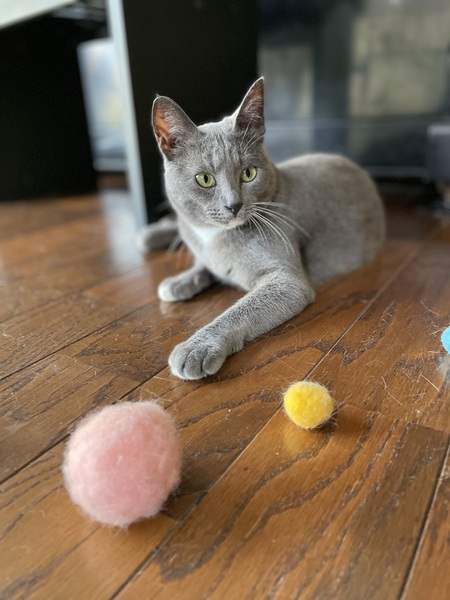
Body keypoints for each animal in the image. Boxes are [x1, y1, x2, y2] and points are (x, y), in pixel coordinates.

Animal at [138, 78, 385, 380]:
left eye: (249, 173)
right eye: (204, 179)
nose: (234, 205)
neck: (213, 237)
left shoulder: (288, 282)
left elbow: (239, 310)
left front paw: (196, 348)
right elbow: (204, 265)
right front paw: (180, 281)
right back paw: (151, 234)